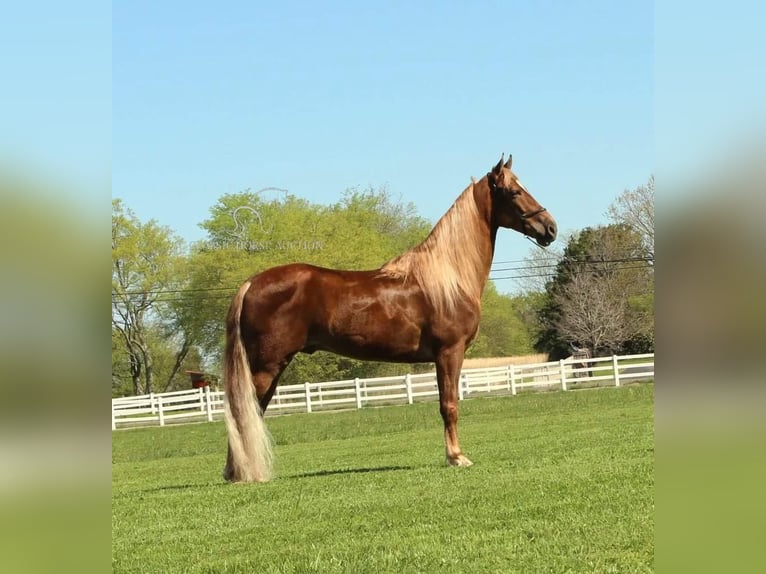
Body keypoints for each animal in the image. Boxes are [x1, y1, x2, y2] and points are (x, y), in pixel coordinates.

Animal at [222, 155, 560, 484]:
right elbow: (449, 405)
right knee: (243, 411)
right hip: (267, 366)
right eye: (514, 192)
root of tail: (250, 283)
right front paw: (456, 457)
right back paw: (243, 473)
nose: (550, 228)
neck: (449, 277)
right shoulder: (449, 353)